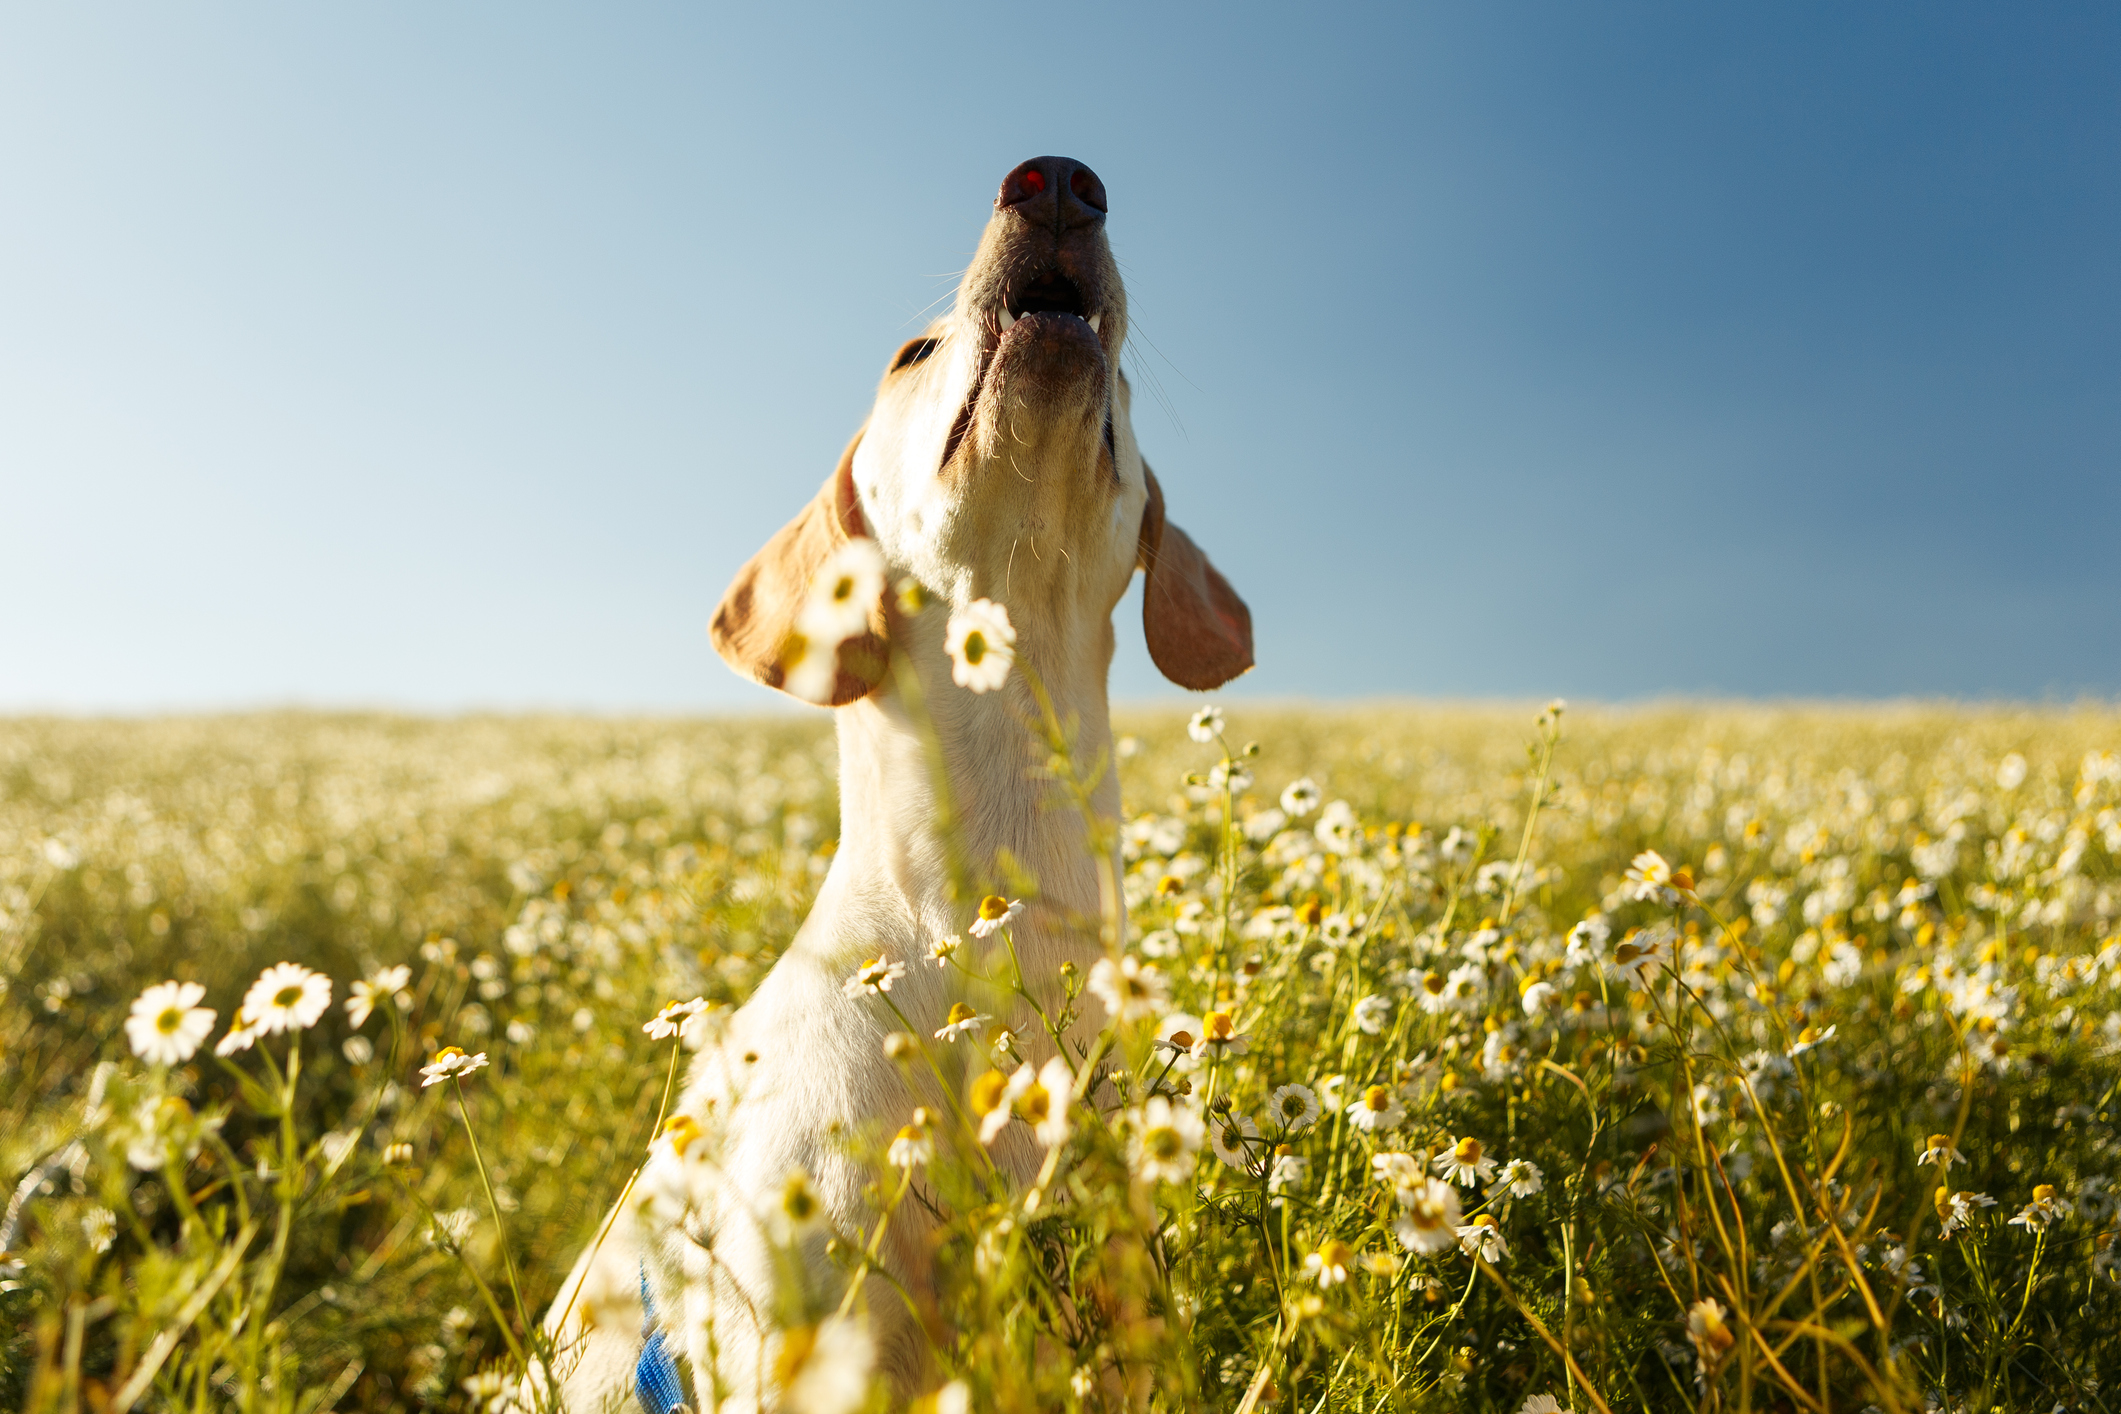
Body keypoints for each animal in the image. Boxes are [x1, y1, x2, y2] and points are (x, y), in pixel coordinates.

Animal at [538, 154, 1247, 1414]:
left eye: (1122, 378)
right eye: (910, 354)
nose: (1057, 182)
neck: (977, 945)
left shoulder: (1123, 1317)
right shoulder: (816, 1336)